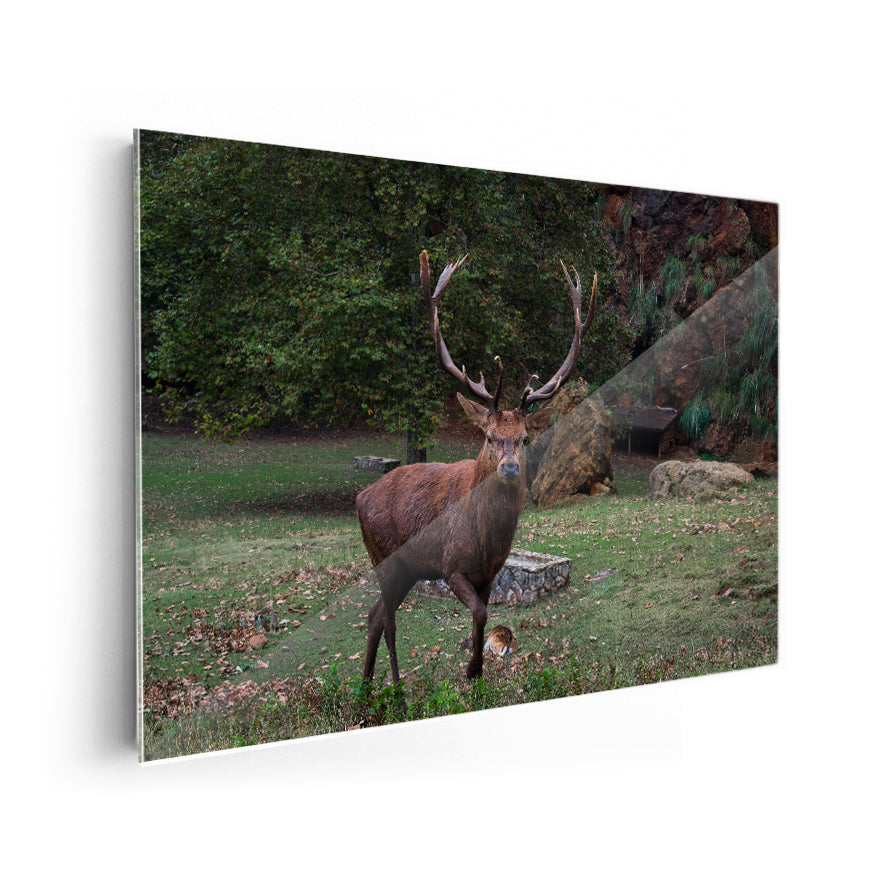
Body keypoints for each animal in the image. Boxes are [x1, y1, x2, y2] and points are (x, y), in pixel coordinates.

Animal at [356, 250, 597, 682]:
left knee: (375, 614)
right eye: (489, 436)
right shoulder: (451, 564)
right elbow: (481, 613)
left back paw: (368, 686)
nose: (510, 468)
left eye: (524, 438)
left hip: (407, 569)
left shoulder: (490, 573)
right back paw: (393, 685)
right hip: (384, 557)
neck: (487, 539)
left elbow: (480, 619)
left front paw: (477, 669)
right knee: (386, 618)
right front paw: (471, 668)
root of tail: (358, 498)